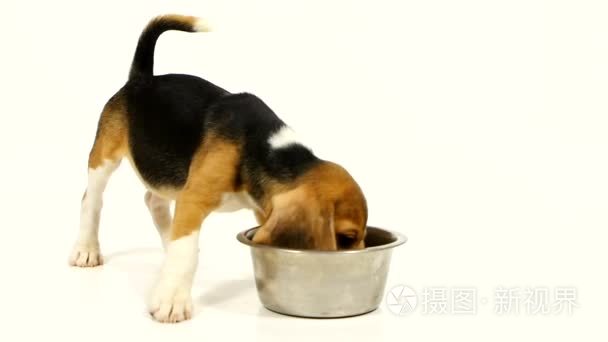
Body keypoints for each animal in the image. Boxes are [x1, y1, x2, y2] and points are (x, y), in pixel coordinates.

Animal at [69, 14, 368, 324]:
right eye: (347, 237)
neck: (259, 148)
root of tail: (142, 79)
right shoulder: (193, 199)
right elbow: (186, 252)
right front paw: (172, 301)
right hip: (105, 157)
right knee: (91, 199)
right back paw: (87, 249)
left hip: (164, 170)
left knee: (154, 202)